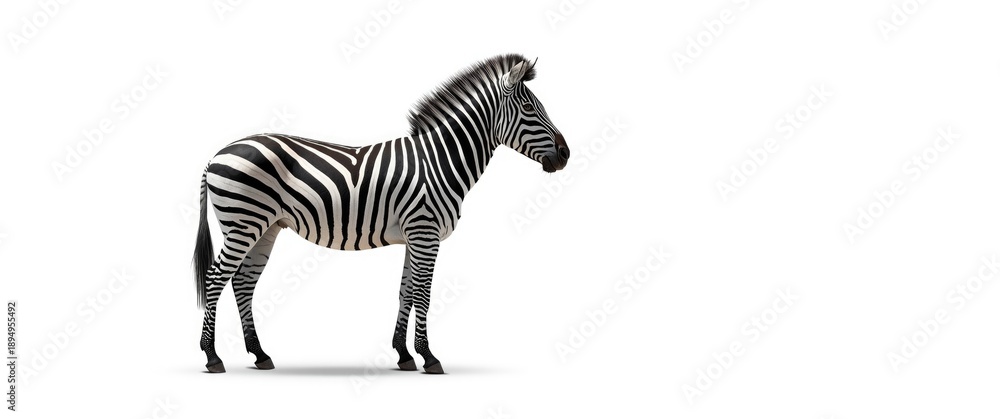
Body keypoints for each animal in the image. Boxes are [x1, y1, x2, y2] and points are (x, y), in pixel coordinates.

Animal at [192, 53, 569, 374]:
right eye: (529, 108)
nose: (566, 154)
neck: (440, 161)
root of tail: (216, 155)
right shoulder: (425, 233)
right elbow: (424, 294)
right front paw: (429, 357)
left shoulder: (414, 237)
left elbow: (406, 291)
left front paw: (404, 355)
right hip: (243, 223)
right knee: (215, 278)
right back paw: (212, 357)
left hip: (265, 226)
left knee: (243, 282)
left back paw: (260, 354)